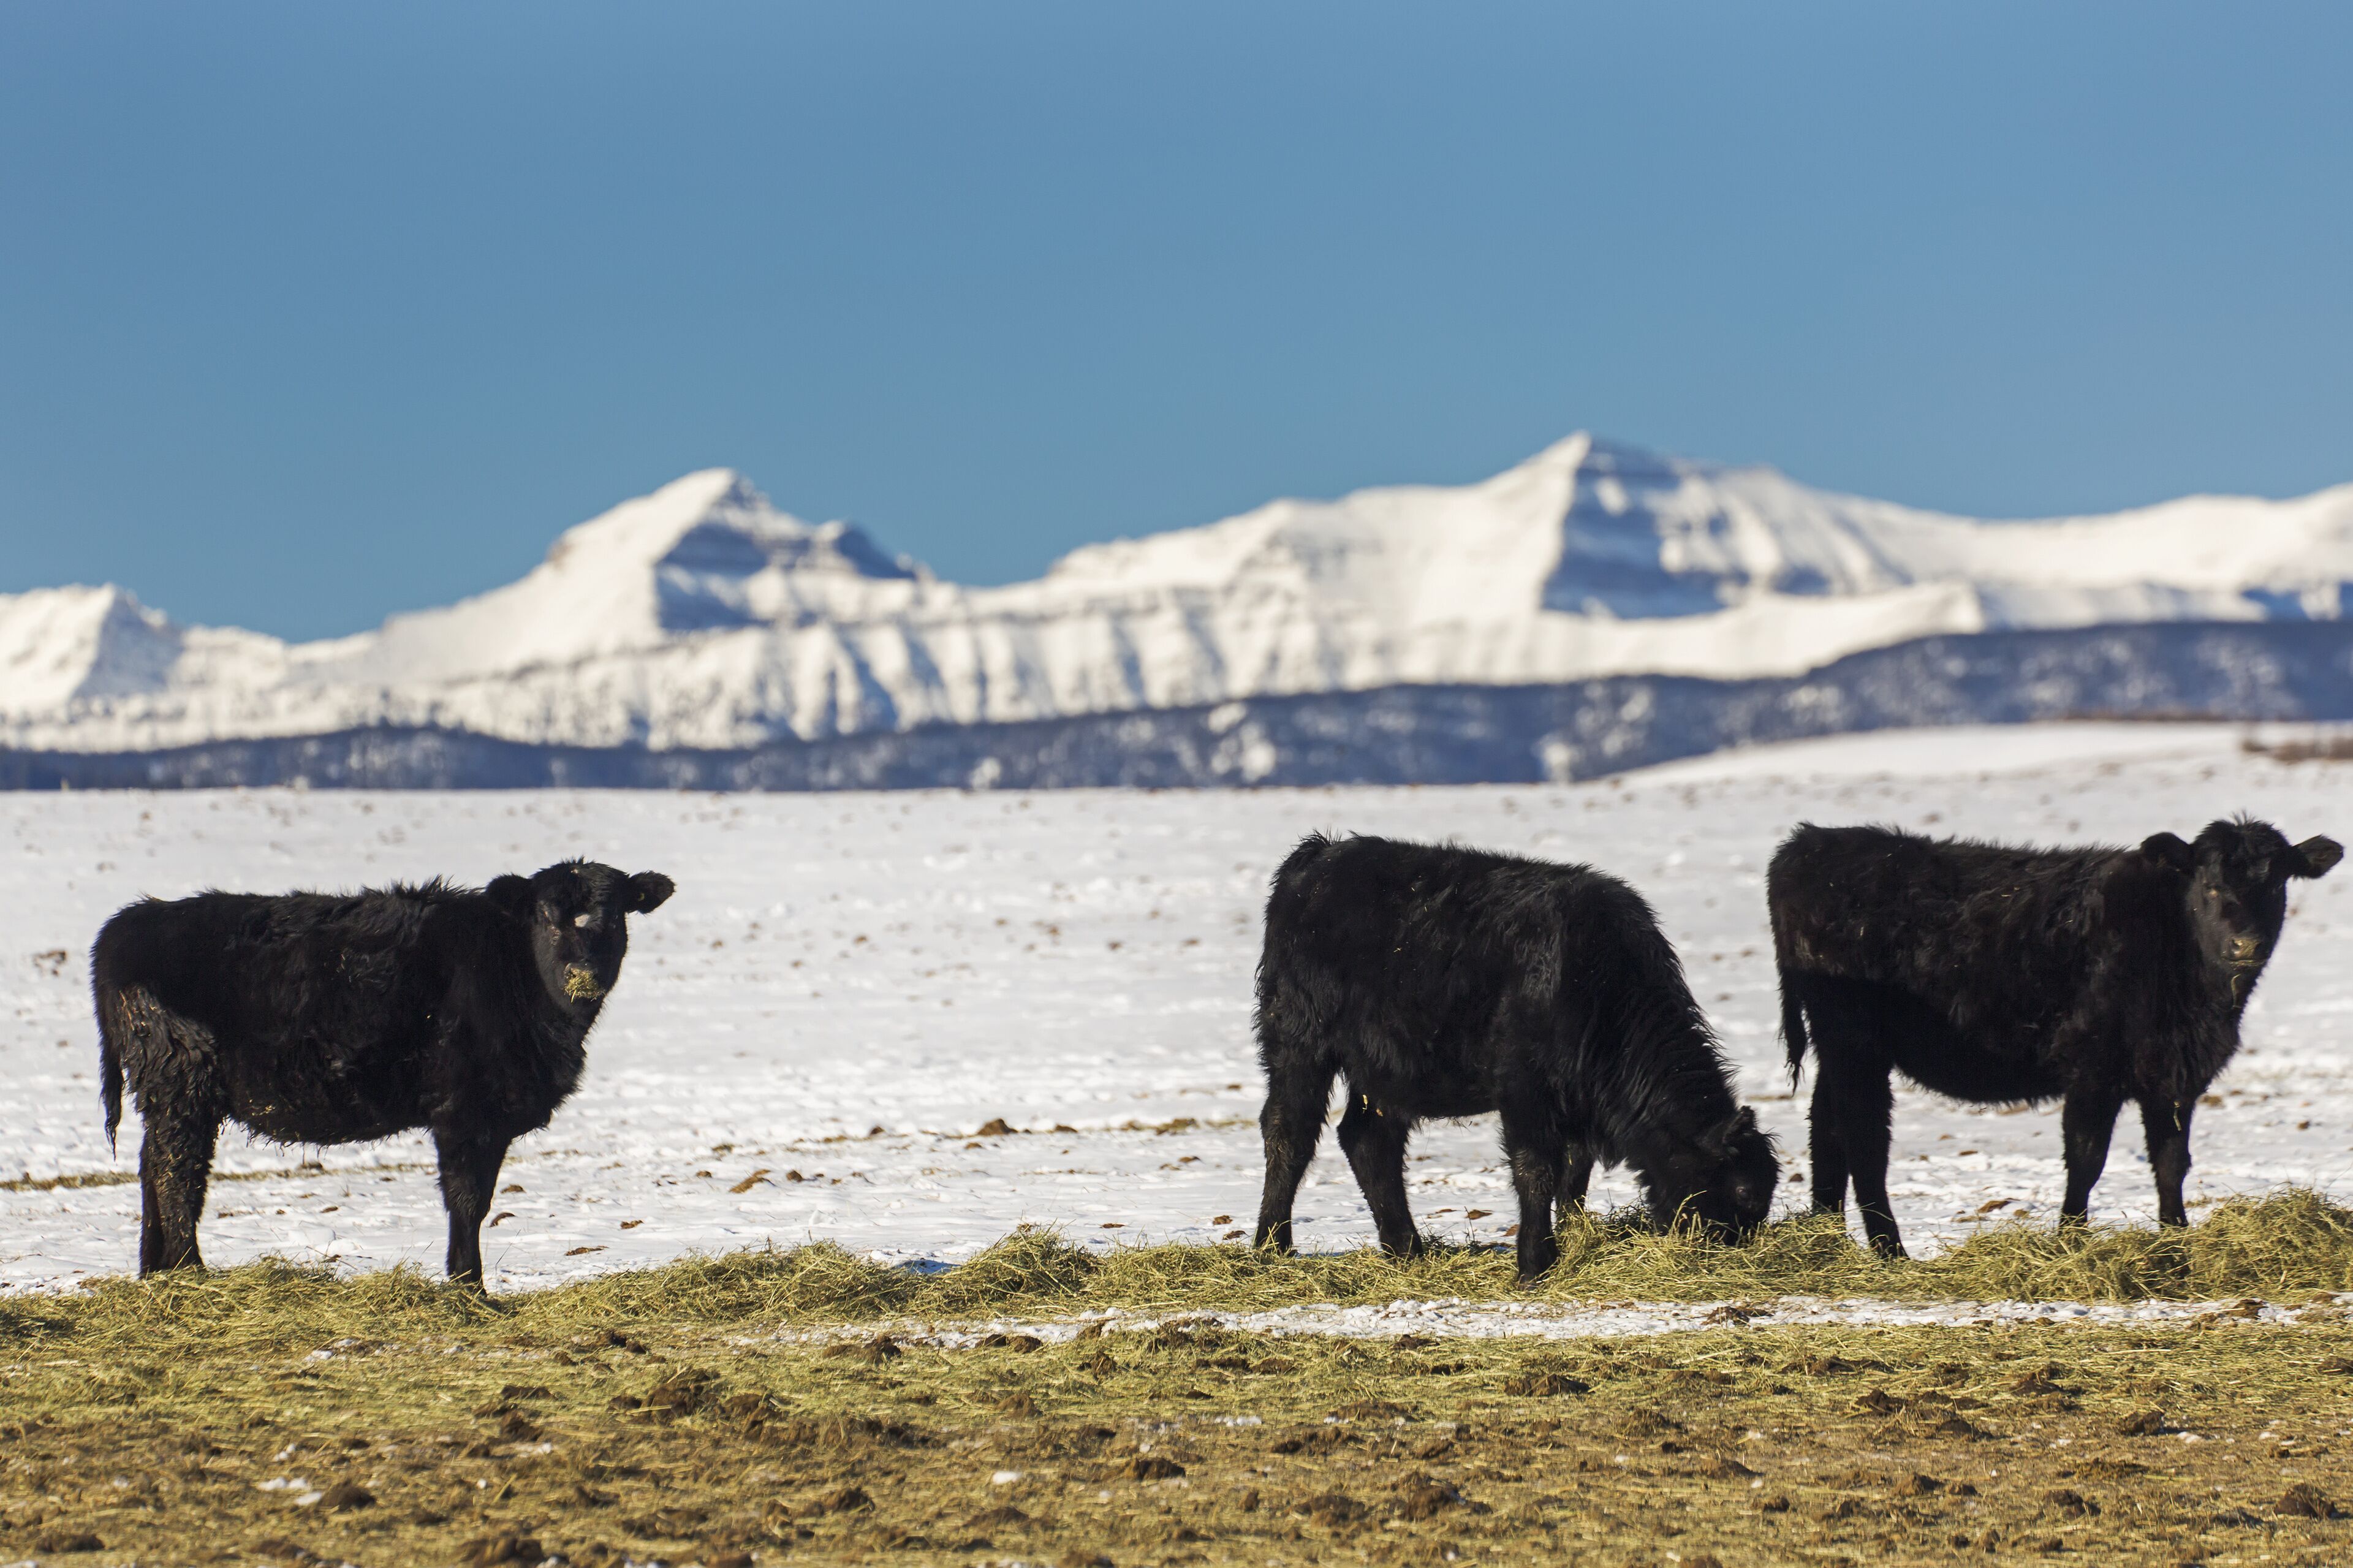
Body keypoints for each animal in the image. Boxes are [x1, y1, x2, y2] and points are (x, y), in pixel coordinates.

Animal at [93, 860, 675, 1284]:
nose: (584, 973)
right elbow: (468, 1200)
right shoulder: (465, 1112)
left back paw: (155, 1272)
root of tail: (130, 922)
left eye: (615, 917)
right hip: (180, 1083)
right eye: (548, 916)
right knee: (176, 1174)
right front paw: (469, 1284)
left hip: (166, 1094)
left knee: (152, 1168)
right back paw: (190, 1271)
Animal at [1252, 833, 1777, 1279]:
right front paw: (1534, 1263)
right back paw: (1272, 1246)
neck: (1597, 978)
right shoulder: (1525, 1090)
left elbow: (1574, 1175)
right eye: (1743, 1190)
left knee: (1369, 1141)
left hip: (1381, 1075)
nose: (1732, 1247)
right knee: (1289, 1132)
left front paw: (1572, 1238)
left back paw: (1407, 1250)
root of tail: (1318, 857)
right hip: (1298, 1047)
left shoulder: (1575, 1106)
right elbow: (1536, 1169)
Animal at [1770, 818, 2340, 1257]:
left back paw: (1826, 1238)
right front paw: (2069, 1239)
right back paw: (1892, 1253)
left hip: (1840, 1048)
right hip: (1854, 1043)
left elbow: (2172, 1162)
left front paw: (2176, 1240)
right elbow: (2086, 1160)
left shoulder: (2175, 1078)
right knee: (1865, 1137)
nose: (2247, 943)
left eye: (2278, 883)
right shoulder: (2093, 1070)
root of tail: (1811, 841)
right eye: (2211, 885)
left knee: (1827, 1128)